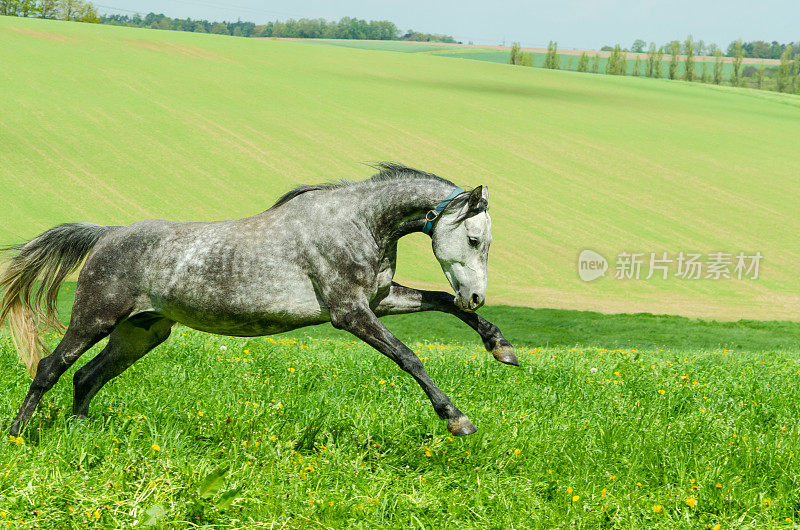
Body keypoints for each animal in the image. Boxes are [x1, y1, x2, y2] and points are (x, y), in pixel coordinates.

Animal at [1, 163, 520, 436]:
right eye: (474, 239)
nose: (477, 295)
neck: (359, 222)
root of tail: (106, 235)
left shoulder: (381, 300)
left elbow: (442, 301)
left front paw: (501, 348)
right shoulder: (350, 313)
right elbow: (409, 357)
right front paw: (457, 419)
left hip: (141, 333)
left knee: (86, 376)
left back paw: (81, 431)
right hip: (94, 319)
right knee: (50, 367)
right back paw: (19, 434)